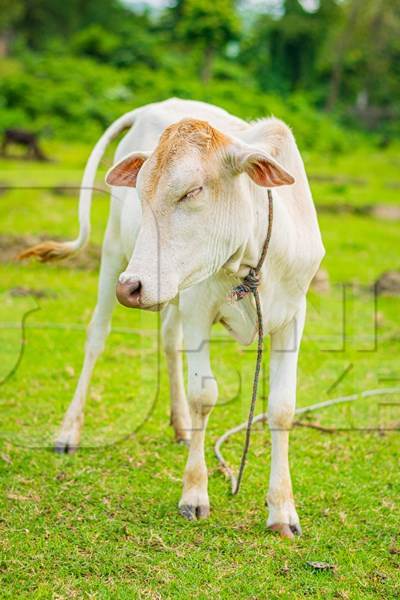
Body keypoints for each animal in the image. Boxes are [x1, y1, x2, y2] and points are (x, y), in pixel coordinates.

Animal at [21, 98, 324, 540]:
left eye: (193, 191)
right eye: (140, 192)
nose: (132, 287)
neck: (250, 259)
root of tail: (156, 105)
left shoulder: (291, 318)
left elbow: (282, 408)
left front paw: (283, 510)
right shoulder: (198, 311)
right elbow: (205, 395)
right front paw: (194, 494)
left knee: (167, 339)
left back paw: (180, 426)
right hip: (114, 253)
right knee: (97, 336)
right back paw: (68, 432)